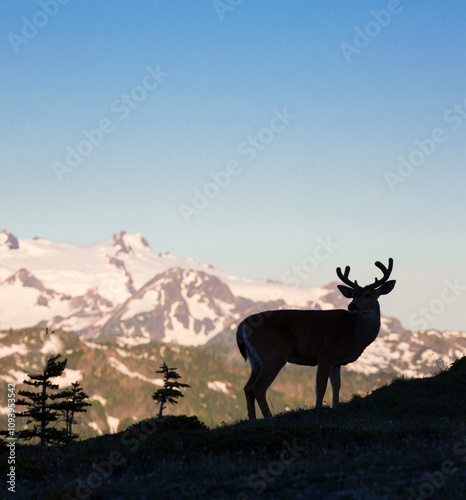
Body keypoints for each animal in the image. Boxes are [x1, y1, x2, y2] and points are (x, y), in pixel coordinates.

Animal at [235, 258, 396, 418]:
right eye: (353, 294)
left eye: (367, 294)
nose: (352, 306)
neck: (354, 333)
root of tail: (242, 325)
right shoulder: (325, 355)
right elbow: (321, 386)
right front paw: (318, 408)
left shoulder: (336, 362)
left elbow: (336, 385)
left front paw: (335, 406)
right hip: (274, 353)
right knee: (258, 387)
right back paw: (269, 417)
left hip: (256, 359)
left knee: (247, 387)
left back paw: (253, 419)